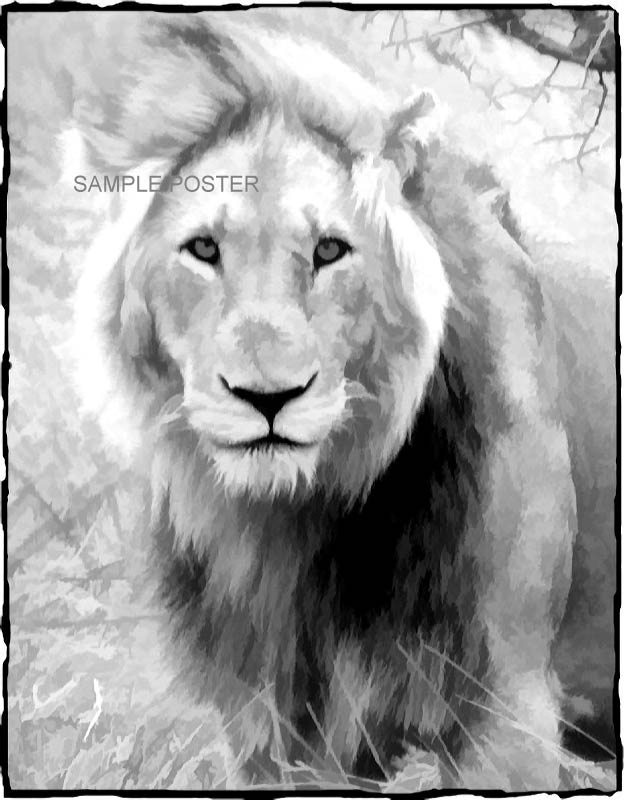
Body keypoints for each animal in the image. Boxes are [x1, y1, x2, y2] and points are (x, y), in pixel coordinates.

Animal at [68, 13, 615, 790]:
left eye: (330, 250)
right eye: (203, 248)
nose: (268, 397)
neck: (298, 528)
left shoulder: (509, 707)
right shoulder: (275, 736)